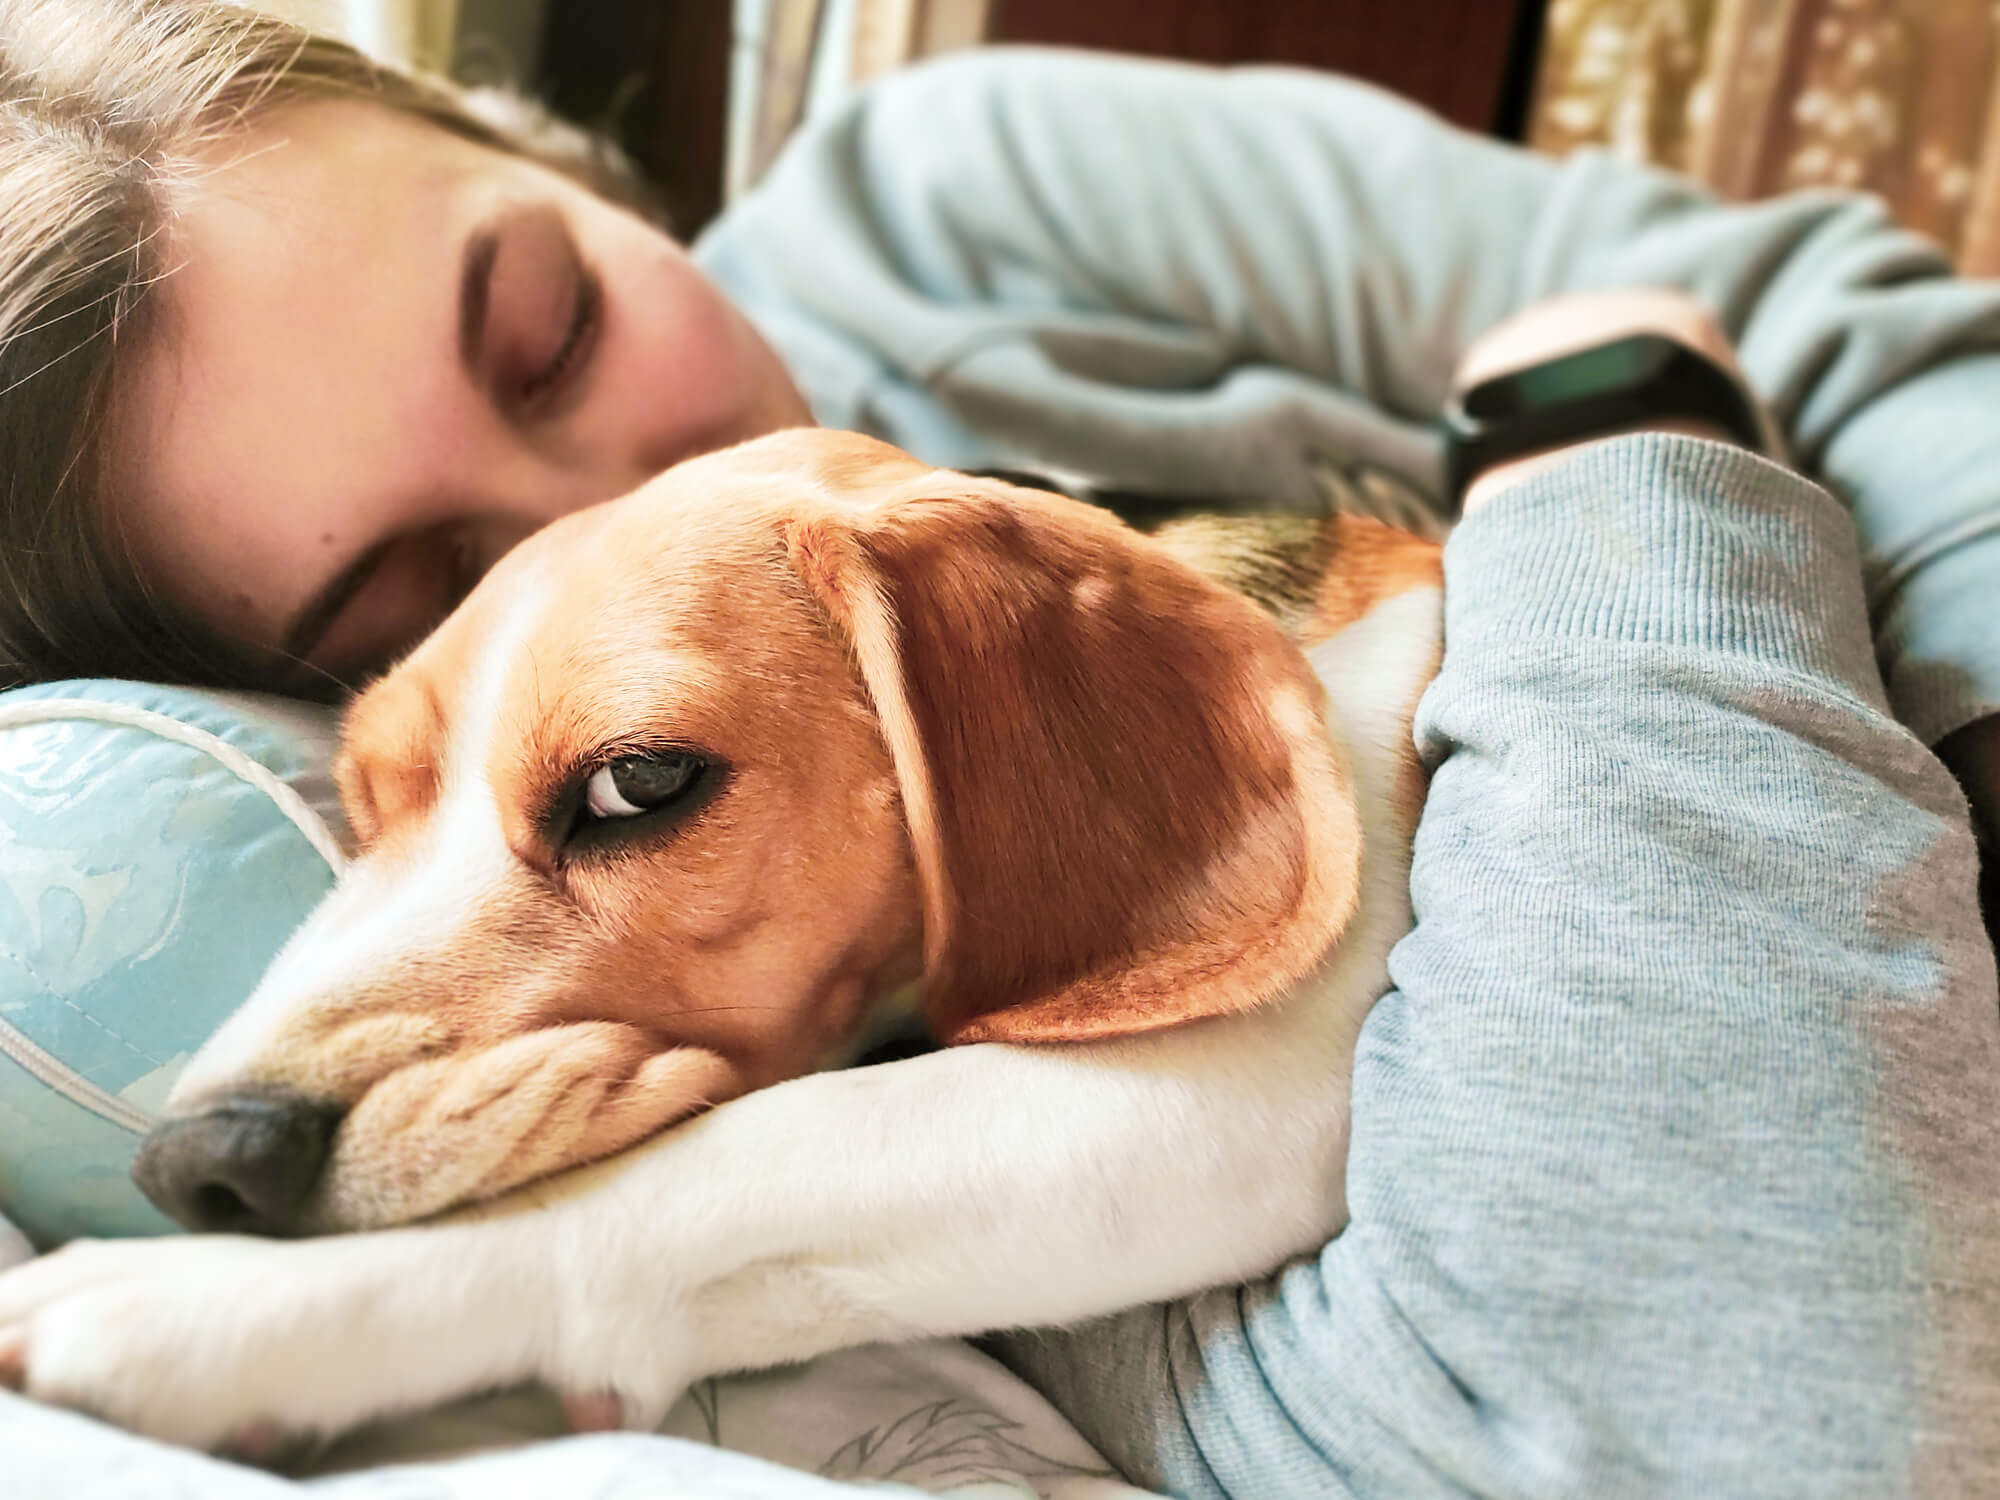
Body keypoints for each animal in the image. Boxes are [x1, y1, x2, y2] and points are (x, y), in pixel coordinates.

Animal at [0, 428, 1448, 1448]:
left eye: (638, 785)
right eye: (365, 808)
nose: (192, 1167)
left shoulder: (1242, 1080)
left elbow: (718, 1164)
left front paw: (207, 1307)